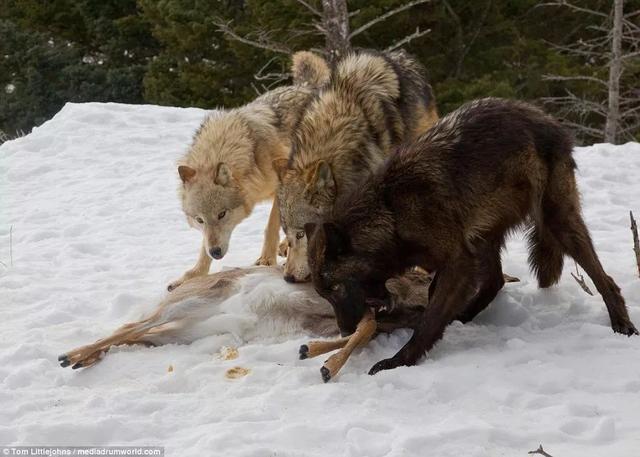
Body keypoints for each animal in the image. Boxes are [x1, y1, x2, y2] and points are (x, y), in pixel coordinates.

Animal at [169, 51, 330, 290]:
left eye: (222, 214)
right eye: (199, 220)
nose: (216, 253)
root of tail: (306, 86)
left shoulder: (281, 187)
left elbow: (271, 227)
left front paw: (266, 260)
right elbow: (202, 248)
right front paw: (192, 275)